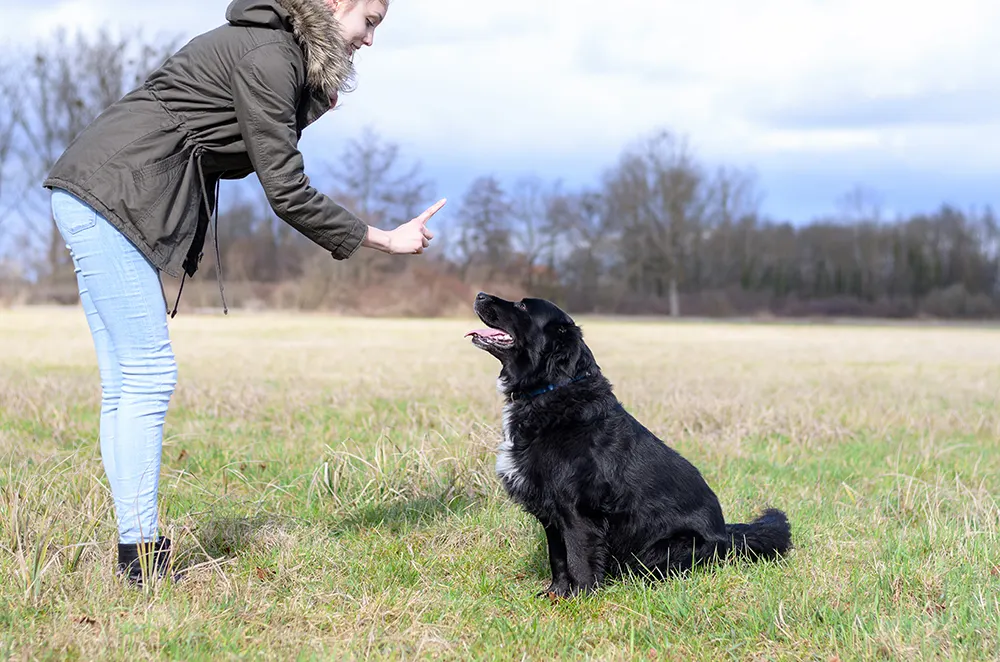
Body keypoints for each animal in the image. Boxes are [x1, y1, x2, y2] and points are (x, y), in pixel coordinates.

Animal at [464, 294, 792, 600]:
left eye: (522, 306)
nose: (480, 295)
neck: (552, 391)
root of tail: (726, 535)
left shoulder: (577, 513)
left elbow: (578, 560)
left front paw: (580, 600)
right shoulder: (551, 513)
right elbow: (558, 559)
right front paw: (555, 594)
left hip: (666, 549)